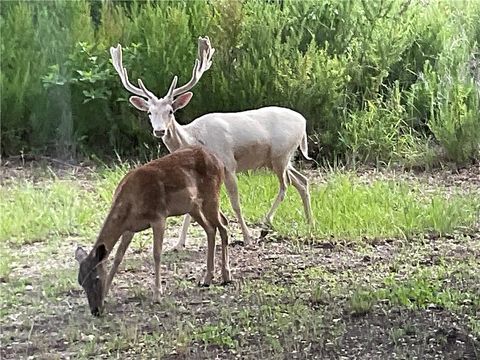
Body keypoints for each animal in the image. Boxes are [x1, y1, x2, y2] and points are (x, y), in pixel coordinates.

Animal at [74, 146, 232, 316]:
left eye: (96, 278)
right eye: (80, 281)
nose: (95, 311)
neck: (130, 204)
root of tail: (219, 161)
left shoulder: (158, 216)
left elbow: (156, 254)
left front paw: (157, 295)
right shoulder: (129, 228)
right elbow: (118, 258)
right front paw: (106, 295)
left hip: (212, 195)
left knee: (223, 227)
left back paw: (226, 276)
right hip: (194, 206)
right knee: (212, 228)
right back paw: (207, 279)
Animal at [111, 38, 316, 249]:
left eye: (170, 111)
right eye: (150, 112)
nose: (159, 131)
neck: (194, 138)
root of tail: (303, 122)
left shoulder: (229, 164)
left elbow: (235, 203)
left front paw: (246, 238)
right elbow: (190, 208)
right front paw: (179, 243)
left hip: (280, 155)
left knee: (285, 185)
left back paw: (265, 227)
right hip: (281, 158)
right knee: (302, 181)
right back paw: (310, 225)